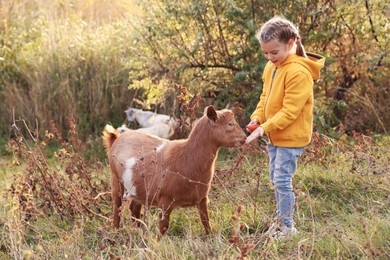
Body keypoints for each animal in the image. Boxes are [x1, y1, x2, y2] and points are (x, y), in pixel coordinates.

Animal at [102, 105, 245, 236]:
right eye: (230, 124)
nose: (244, 138)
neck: (186, 156)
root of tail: (116, 138)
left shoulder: (202, 199)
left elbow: (206, 222)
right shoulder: (165, 202)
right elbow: (163, 227)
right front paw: (157, 243)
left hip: (137, 189)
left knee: (134, 209)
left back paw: (140, 232)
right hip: (116, 180)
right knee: (117, 206)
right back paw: (116, 231)